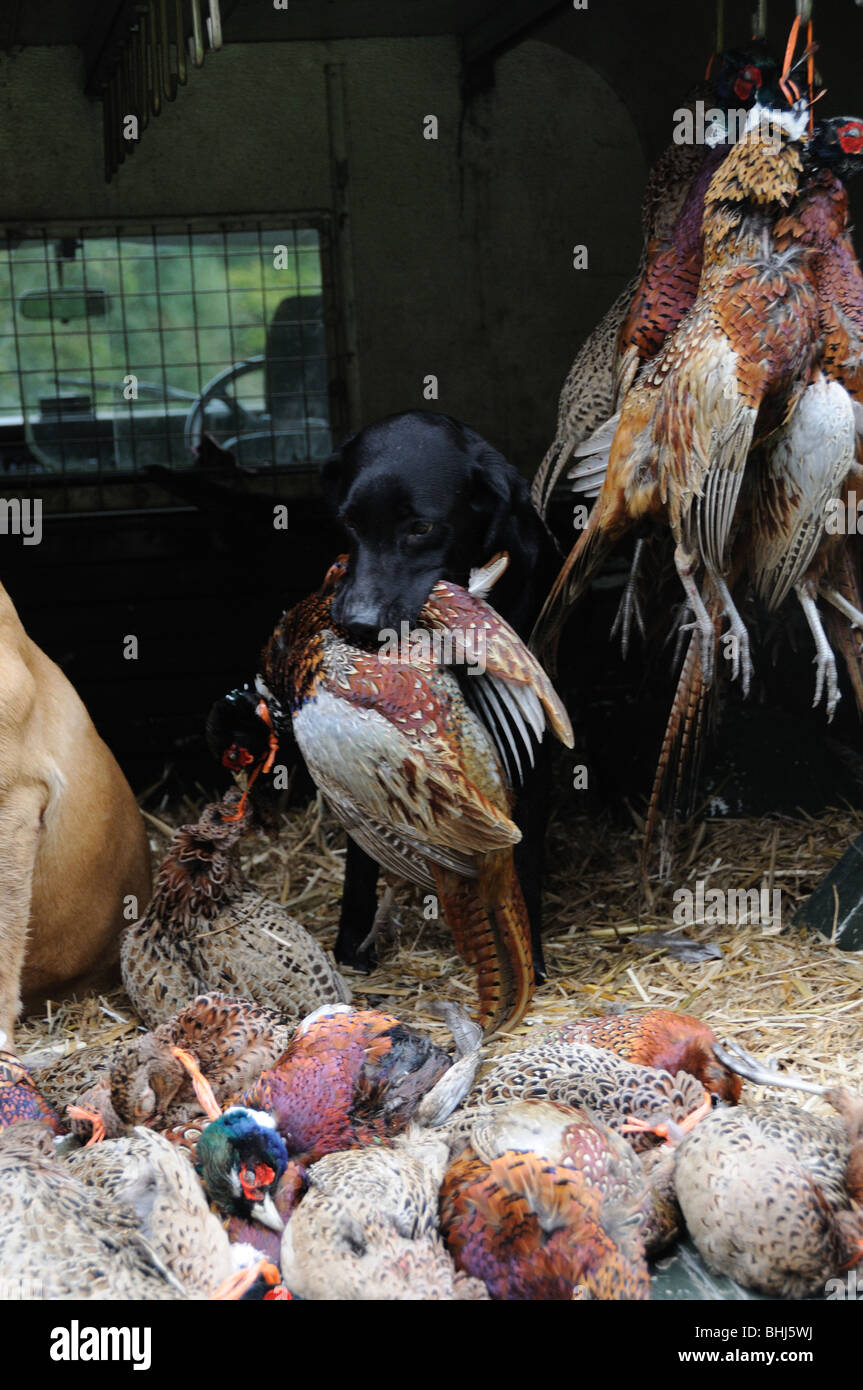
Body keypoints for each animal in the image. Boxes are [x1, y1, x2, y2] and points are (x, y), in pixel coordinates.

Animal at [319, 408, 561, 978]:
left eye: (421, 528)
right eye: (349, 522)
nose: (357, 624)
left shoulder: (531, 742)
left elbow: (525, 851)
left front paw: (530, 956)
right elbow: (362, 849)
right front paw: (352, 940)